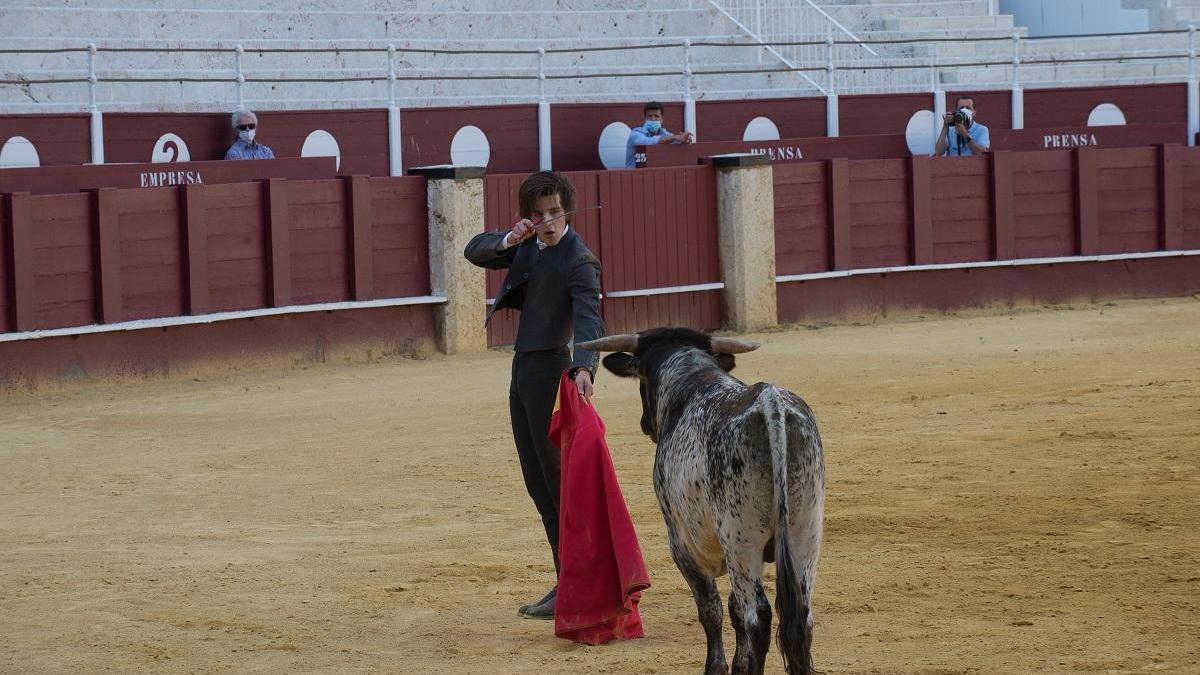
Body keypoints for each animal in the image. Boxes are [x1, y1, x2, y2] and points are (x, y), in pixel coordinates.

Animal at [580, 326, 825, 672]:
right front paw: (738, 665)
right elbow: (733, 609)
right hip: (805, 531)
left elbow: (712, 611)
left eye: (641, 376)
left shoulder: (683, 547)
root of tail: (770, 403)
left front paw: (717, 667)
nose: (645, 424)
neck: (691, 375)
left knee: (758, 617)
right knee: (801, 616)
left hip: (741, 539)